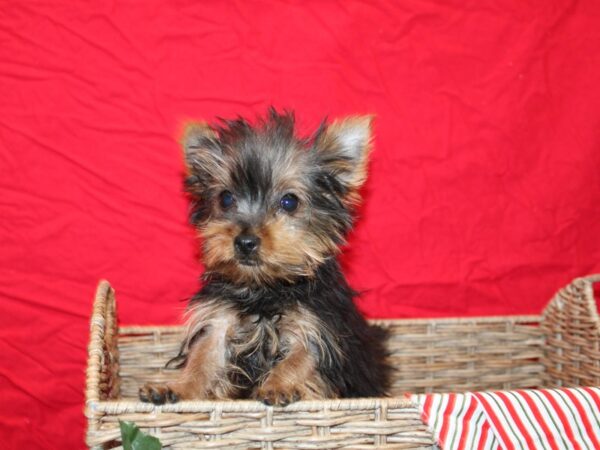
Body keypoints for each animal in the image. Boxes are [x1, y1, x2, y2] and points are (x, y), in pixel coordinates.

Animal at [142, 110, 394, 408]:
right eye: (226, 198)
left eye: (289, 202)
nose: (245, 242)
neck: (263, 288)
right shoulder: (217, 321)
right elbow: (203, 357)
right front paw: (178, 387)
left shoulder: (317, 327)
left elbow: (299, 359)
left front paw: (277, 386)